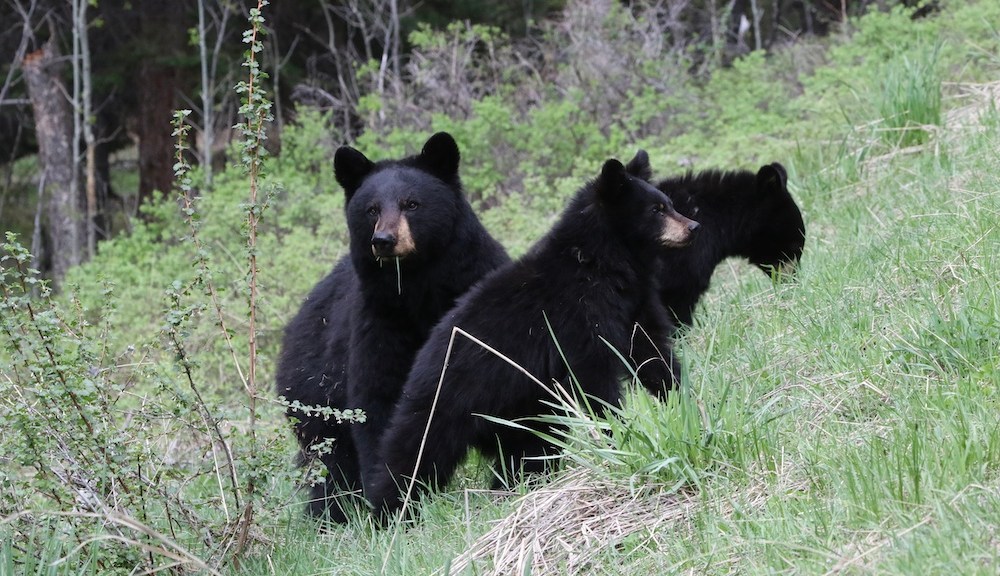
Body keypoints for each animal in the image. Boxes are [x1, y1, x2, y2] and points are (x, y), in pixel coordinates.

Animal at [276, 133, 512, 524]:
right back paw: (331, 515)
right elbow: (378, 399)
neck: (418, 289)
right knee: (332, 461)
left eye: (411, 204)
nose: (384, 240)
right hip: (313, 388)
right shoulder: (380, 319)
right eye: (371, 209)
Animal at [364, 150, 700, 520]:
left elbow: (653, 353)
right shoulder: (577, 317)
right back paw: (388, 513)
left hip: (521, 409)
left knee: (527, 447)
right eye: (656, 210)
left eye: (669, 204)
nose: (692, 227)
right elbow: (594, 379)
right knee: (414, 450)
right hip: (447, 400)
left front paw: (685, 402)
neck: (605, 264)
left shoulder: (634, 305)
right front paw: (617, 435)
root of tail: (422, 358)